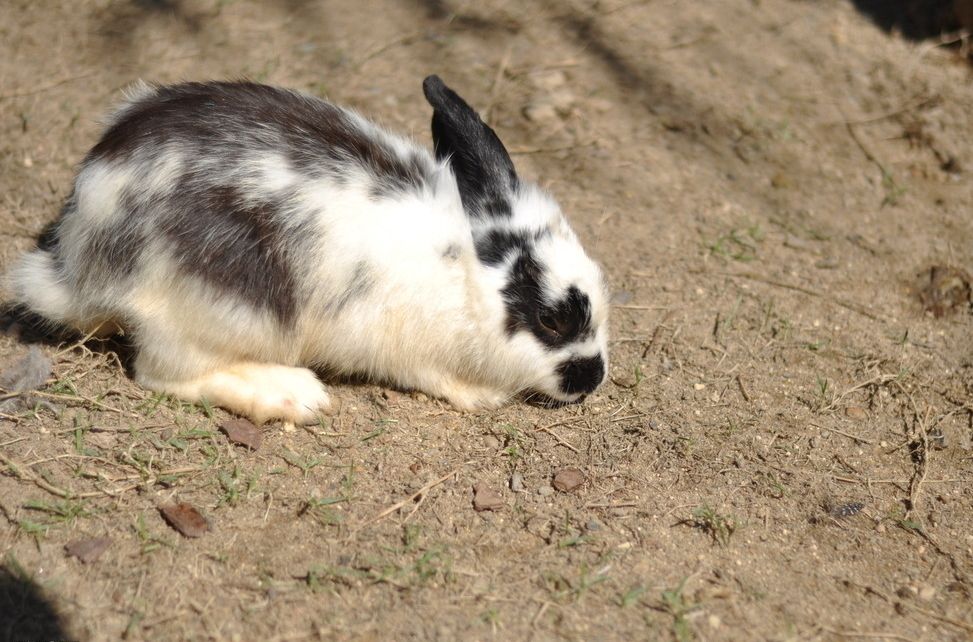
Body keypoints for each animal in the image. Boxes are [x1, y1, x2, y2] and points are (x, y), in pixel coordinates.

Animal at [7, 75, 612, 422]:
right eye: (552, 320)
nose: (593, 377)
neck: (464, 271)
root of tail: (80, 260)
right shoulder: (405, 347)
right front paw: (482, 396)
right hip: (220, 309)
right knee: (164, 373)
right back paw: (293, 396)